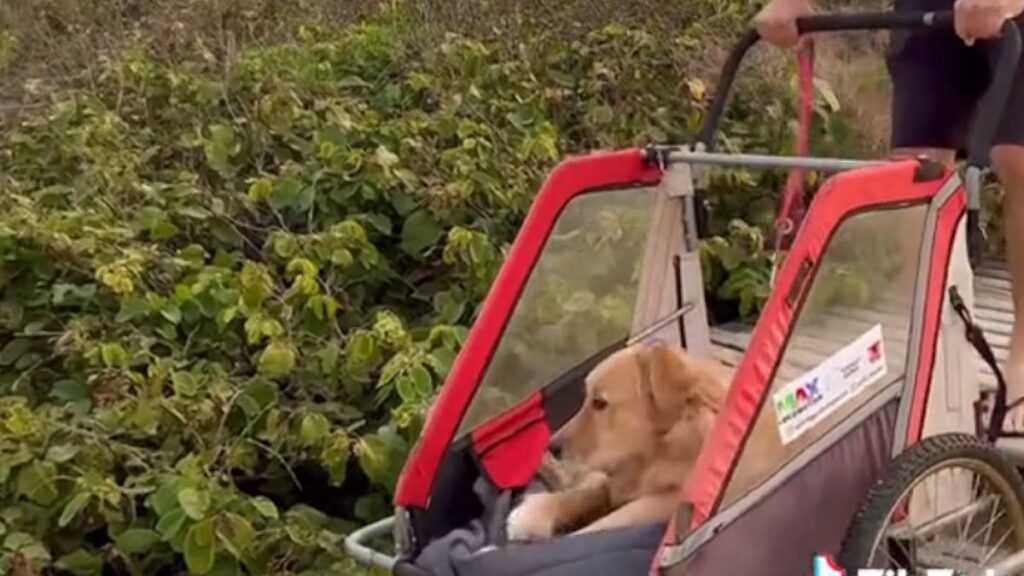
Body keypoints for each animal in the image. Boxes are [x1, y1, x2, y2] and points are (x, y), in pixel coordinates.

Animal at [501, 340, 729, 537]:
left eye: (599, 403)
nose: (550, 447)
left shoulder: (669, 499)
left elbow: (608, 522)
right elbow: (592, 491)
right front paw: (536, 512)